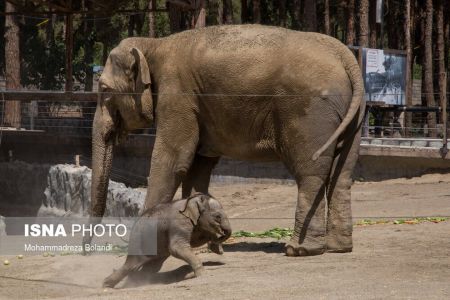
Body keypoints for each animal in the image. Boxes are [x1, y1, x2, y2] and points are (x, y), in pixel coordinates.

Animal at [86, 24, 364, 256]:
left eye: (104, 89)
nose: (86, 251)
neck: (153, 44)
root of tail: (346, 56)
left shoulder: (177, 95)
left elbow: (173, 161)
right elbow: (198, 166)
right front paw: (200, 243)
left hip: (308, 112)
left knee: (310, 173)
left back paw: (300, 250)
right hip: (352, 115)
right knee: (342, 174)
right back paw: (338, 248)